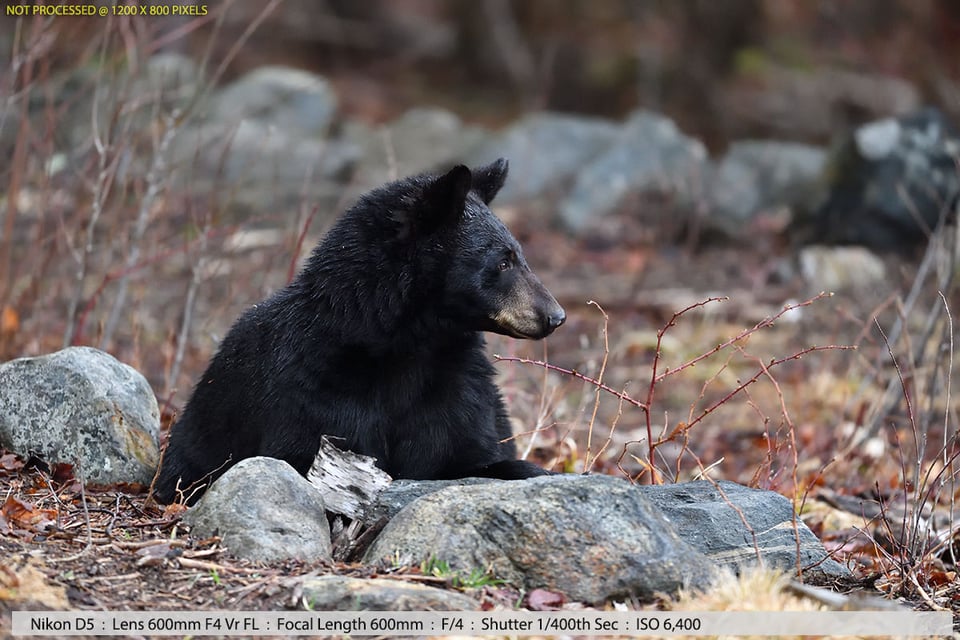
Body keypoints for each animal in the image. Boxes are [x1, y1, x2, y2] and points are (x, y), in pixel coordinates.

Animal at [154, 158, 568, 502]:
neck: (411, 344)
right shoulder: (316, 391)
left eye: (517, 254)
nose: (555, 315)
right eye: (503, 261)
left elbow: (467, 452)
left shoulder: (457, 386)